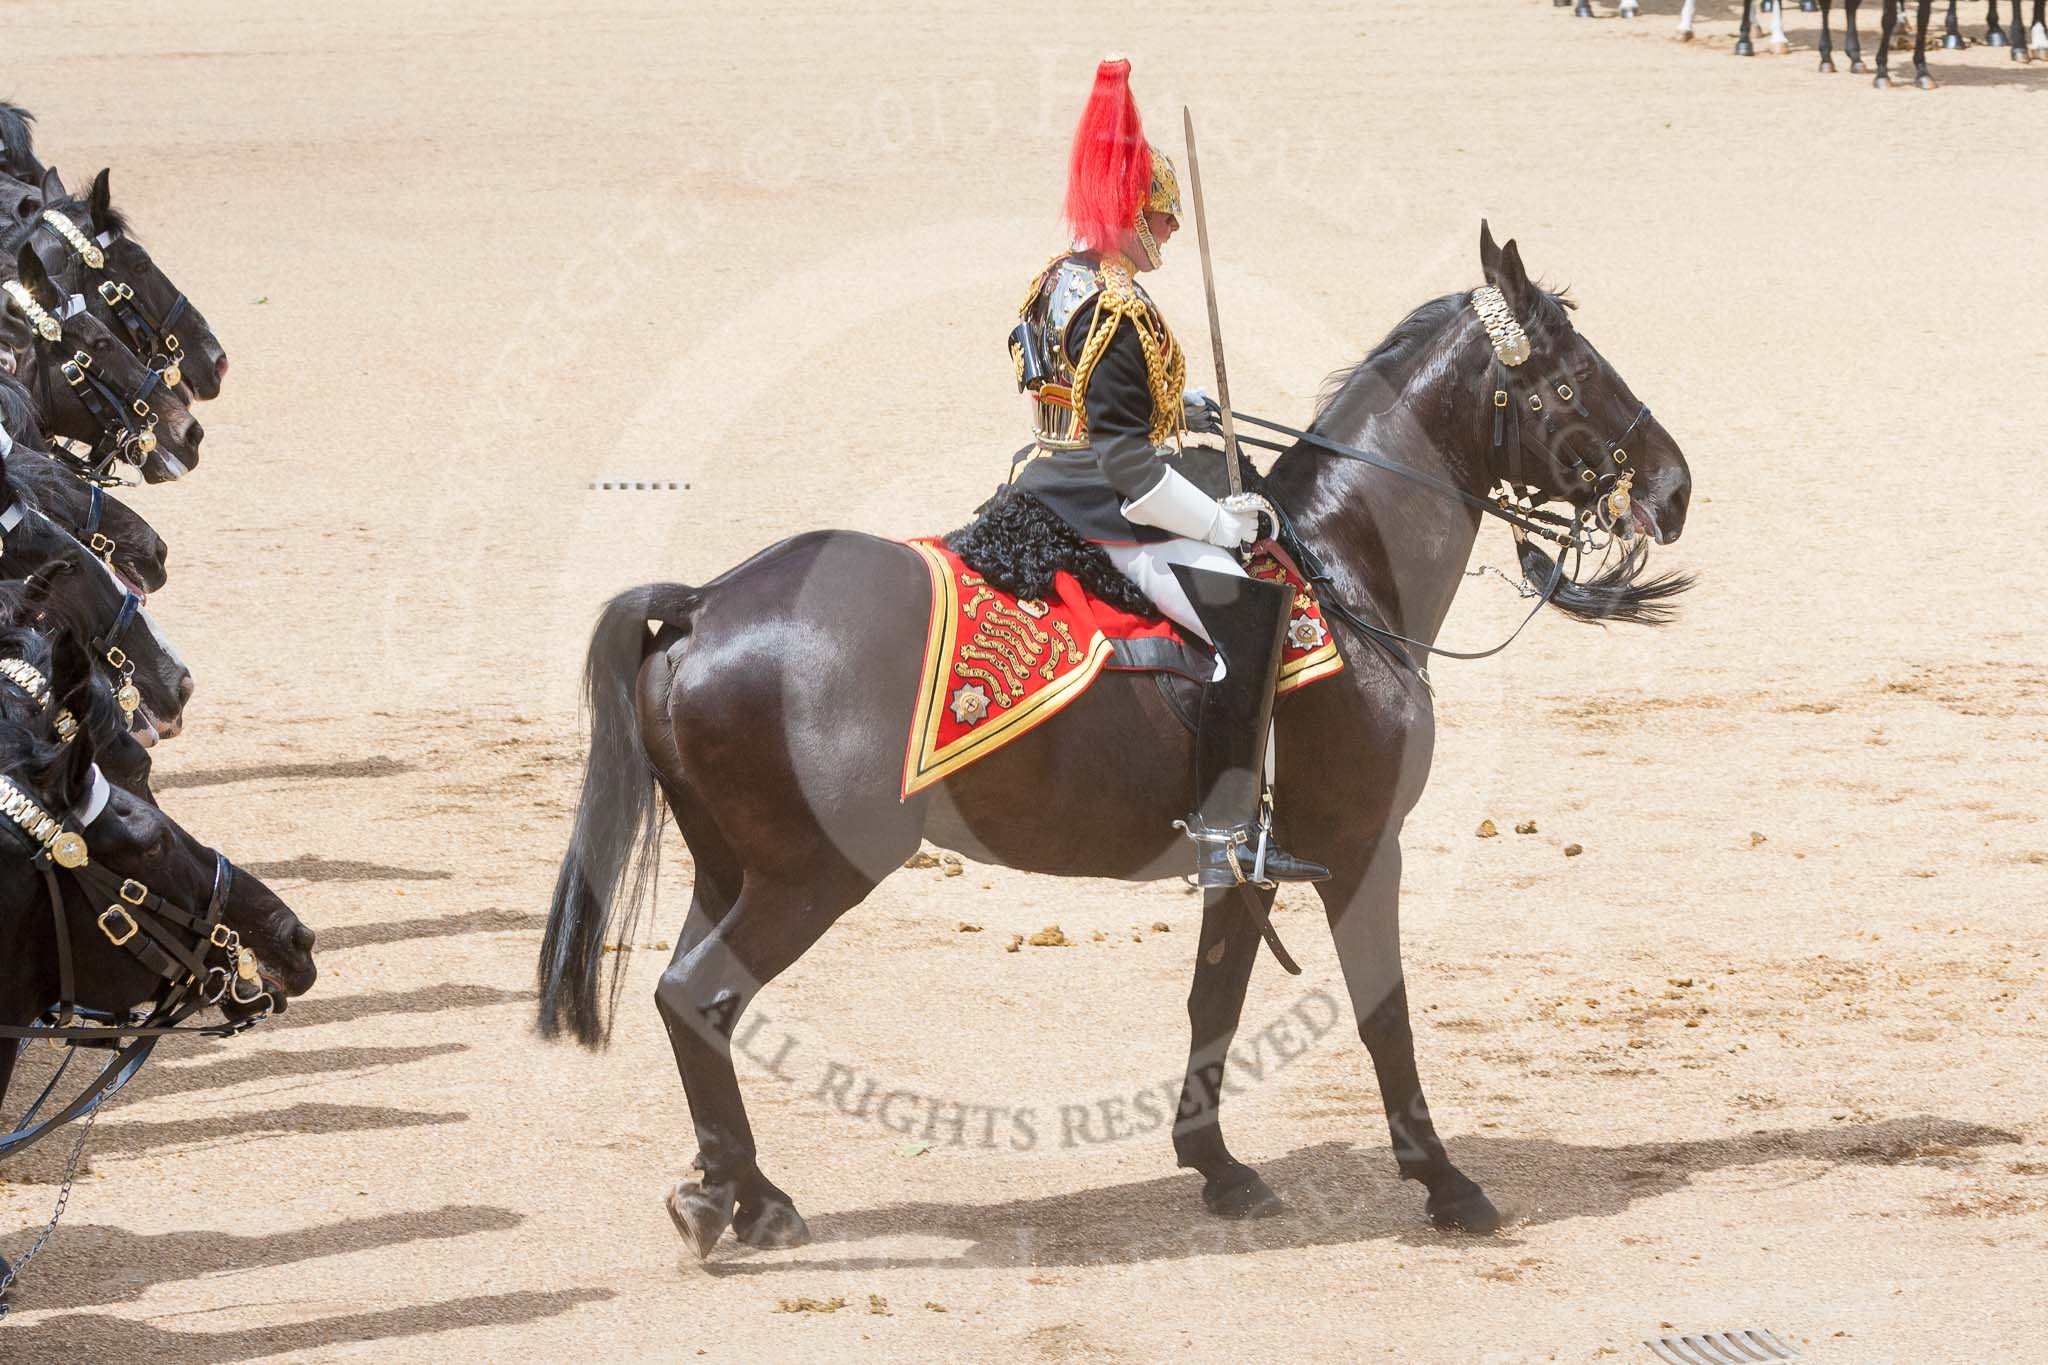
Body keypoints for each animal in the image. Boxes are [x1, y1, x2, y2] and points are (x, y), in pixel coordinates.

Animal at [537, 223, 1694, 1258]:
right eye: (1572, 377)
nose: (1673, 487)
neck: (1343, 568)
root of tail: (702, 602)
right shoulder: (1363, 846)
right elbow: (1383, 1013)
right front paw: (1446, 1184)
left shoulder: (1247, 859)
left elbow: (1213, 999)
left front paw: (1218, 1169)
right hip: (809, 873)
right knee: (700, 996)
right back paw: (728, 1202)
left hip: (730, 868)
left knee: (690, 1001)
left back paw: (745, 1194)